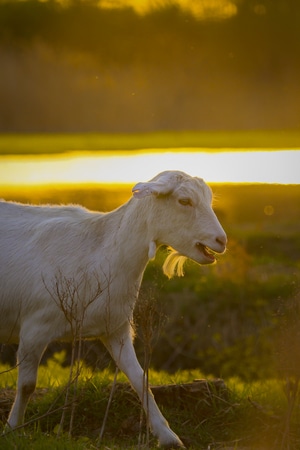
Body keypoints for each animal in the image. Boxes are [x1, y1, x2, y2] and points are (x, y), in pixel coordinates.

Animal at [0, 171, 225, 446]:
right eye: (184, 201)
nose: (221, 240)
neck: (103, 252)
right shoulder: (34, 328)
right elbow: (27, 386)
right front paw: (12, 428)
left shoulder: (115, 329)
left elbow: (140, 380)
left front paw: (168, 437)